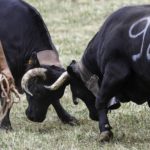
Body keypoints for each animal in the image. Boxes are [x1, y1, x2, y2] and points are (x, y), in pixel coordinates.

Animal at [0, 0, 77, 129]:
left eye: (58, 95)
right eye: (37, 91)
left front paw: (67, 118)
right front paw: (5, 125)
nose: (36, 118)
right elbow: (6, 96)